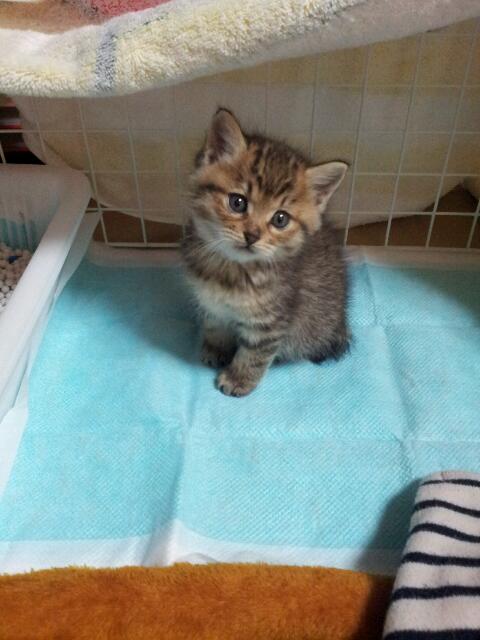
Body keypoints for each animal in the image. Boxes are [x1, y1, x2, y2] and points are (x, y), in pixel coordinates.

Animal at [182, 108, 349, 397]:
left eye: (280, 219)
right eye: (237, 202)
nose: (252, 236)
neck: (230, 270)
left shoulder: (270, 322)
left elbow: (255, 353)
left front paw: (238, 379)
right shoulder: (210, 303)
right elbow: (214, 325)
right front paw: (216, 348)